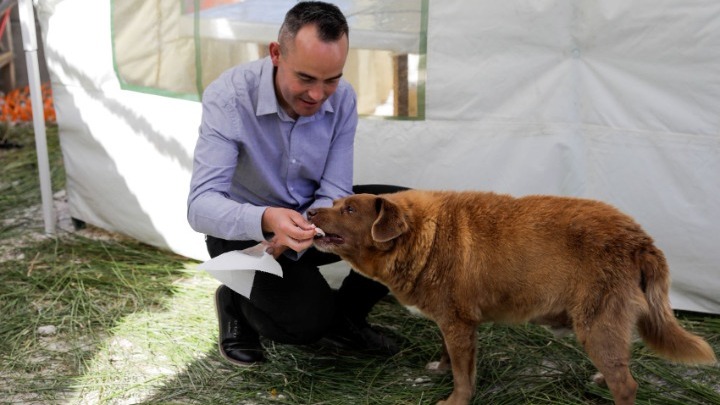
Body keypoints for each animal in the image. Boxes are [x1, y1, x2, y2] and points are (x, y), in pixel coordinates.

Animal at [306, 189, 716, 404]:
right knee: (620, 364)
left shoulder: (459, 324)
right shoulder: (450, 321)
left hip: (596, 322)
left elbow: (463, 375)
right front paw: (440, 367)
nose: (310, 210)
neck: (424, 235)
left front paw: (456, 399)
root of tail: (639, 238)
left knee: (627, 383)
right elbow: (447, 354)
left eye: (349, 209)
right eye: (337, 203)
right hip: (607, 323)